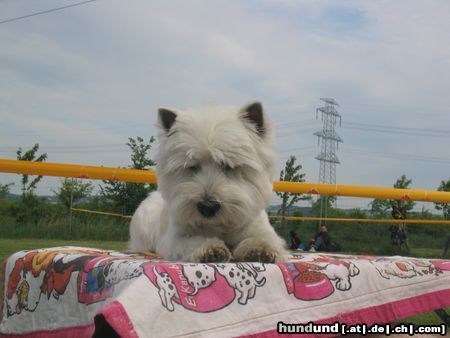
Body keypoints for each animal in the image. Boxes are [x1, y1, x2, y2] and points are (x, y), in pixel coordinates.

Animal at [128, 101, 286, 262]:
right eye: (192, 166)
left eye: (228, 166)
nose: (207, 207)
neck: (220, 225)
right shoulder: (175, 238)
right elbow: (191, 240)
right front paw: (212, 249)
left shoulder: (259, 228)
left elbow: (264, 238)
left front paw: (260, 250)